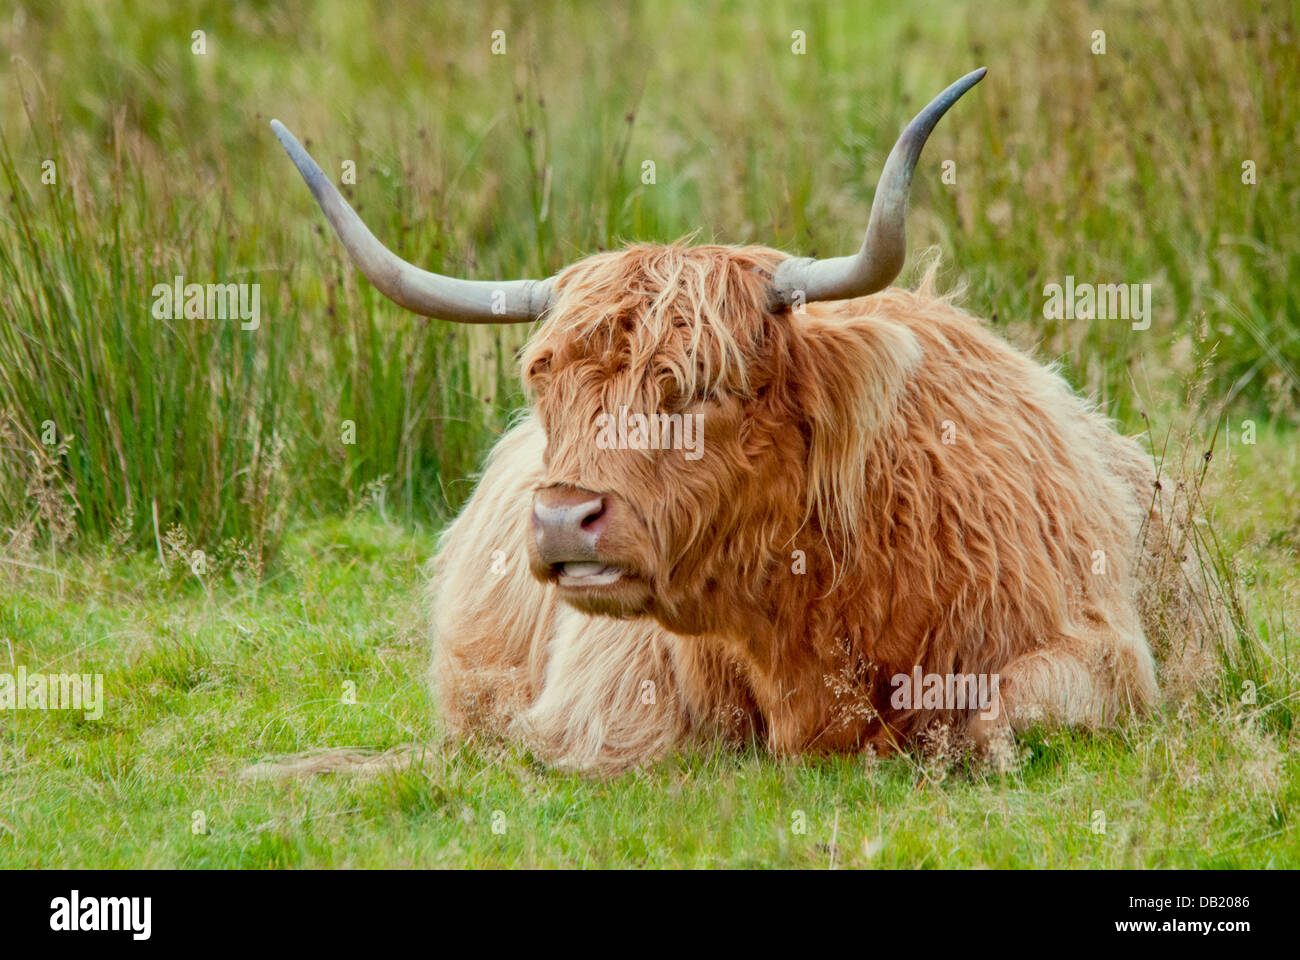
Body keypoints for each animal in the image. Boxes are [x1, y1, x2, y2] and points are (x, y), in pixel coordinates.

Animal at [270, 68, 1222, 774]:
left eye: (699, 388)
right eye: (546, 386)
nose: (561, 518)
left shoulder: (1102, 650)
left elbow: (997, 721)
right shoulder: (608, 694)